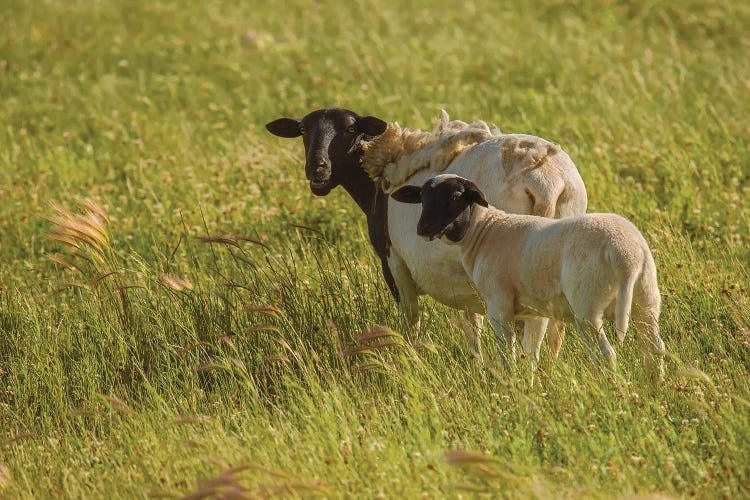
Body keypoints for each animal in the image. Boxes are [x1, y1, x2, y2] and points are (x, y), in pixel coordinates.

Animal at [268, 108, 592, 360]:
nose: (317, 170)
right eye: (302, 130)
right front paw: (477, 364)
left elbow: (411, 321)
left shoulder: (394, 264)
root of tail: (545, 180)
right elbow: (471, 323)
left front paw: (411, 362)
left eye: (350, 129)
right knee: (552, 330)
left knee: (533, 329)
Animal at [390, 175, 668, 378]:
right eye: (422, 198)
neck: (484, 231)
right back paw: (656, 386)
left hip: (588, 307)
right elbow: (530, 356)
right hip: (647, 300)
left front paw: (510, 385)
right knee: (655, 349)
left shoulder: (499, 304)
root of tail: (627, 254)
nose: (422, 228)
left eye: (457, 196)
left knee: (606, 354)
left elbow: (508, 355)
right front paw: (529, 386)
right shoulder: (536, 312)